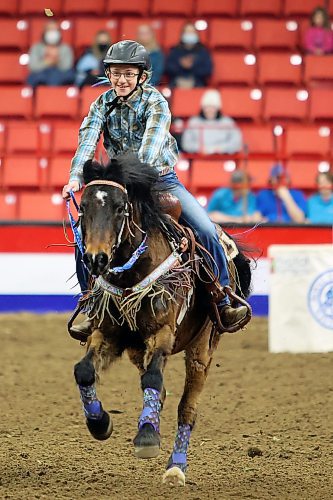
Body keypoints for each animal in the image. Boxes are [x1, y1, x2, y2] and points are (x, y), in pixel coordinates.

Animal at [71, 154, 250, 486]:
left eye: (120, 207)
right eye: (83, 206)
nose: (96, 258)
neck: (131, 272)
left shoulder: (163, 332)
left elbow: (154, 379)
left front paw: (146, 439)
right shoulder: (107, 333)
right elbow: (84, 371)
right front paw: (100, 423)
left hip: (202, 348)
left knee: (186, 408)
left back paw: (176, 468)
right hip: (136, 349)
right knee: (161, 391)